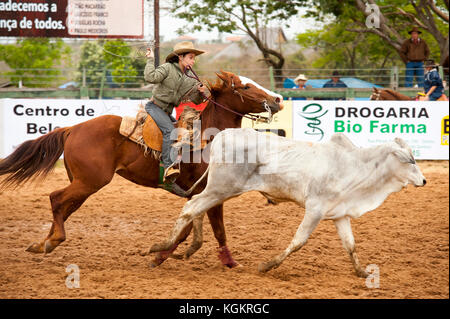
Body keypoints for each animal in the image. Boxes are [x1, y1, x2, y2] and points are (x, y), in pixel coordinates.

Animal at [0, 71, 282, 268]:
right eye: (245, 86)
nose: (278, 99)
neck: (208, 138)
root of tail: (72, 128)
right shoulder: (210, 193)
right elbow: (211, 229)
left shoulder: (199, 195)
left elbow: (192, 230)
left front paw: (164, 256)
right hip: (90, 181)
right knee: (56, 198)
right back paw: (52, 241)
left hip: (82, 183)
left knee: (64, 206)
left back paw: (42, 243)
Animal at [150, 129, 426, 278]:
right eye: (411, 160)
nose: (423, 180)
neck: (353, 165)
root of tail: (222, 136)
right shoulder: (314, 210)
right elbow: (298, 241)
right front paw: (267, 265)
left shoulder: (340, 214)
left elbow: (350, 245)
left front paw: (362, 272)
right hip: (222, 188)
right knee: (191, 208)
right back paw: (159, 248)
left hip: (221, 190)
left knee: (197, 208)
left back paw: (185, 248)